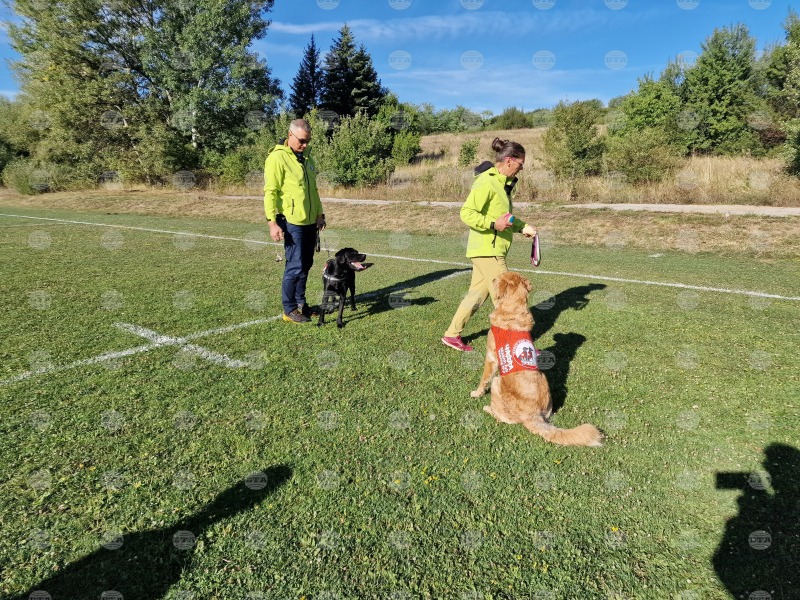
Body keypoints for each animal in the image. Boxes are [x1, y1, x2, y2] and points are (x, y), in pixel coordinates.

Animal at [471, 272, 603, 447]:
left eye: (497, 278)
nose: (492, 278)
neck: (513, 310)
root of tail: (534, 415)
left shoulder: (491, 358)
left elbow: (483, 379)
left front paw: (477, 393)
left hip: (497, 382)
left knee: (505, 418)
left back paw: (488, 409)